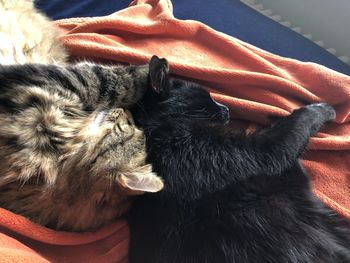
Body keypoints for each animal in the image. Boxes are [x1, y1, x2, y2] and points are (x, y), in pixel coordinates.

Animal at [129, 56, 350, 263]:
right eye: (206, 97)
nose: (226, 108)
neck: (165, 130)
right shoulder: (264, 150)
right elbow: (299, 123)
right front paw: (325, 109)